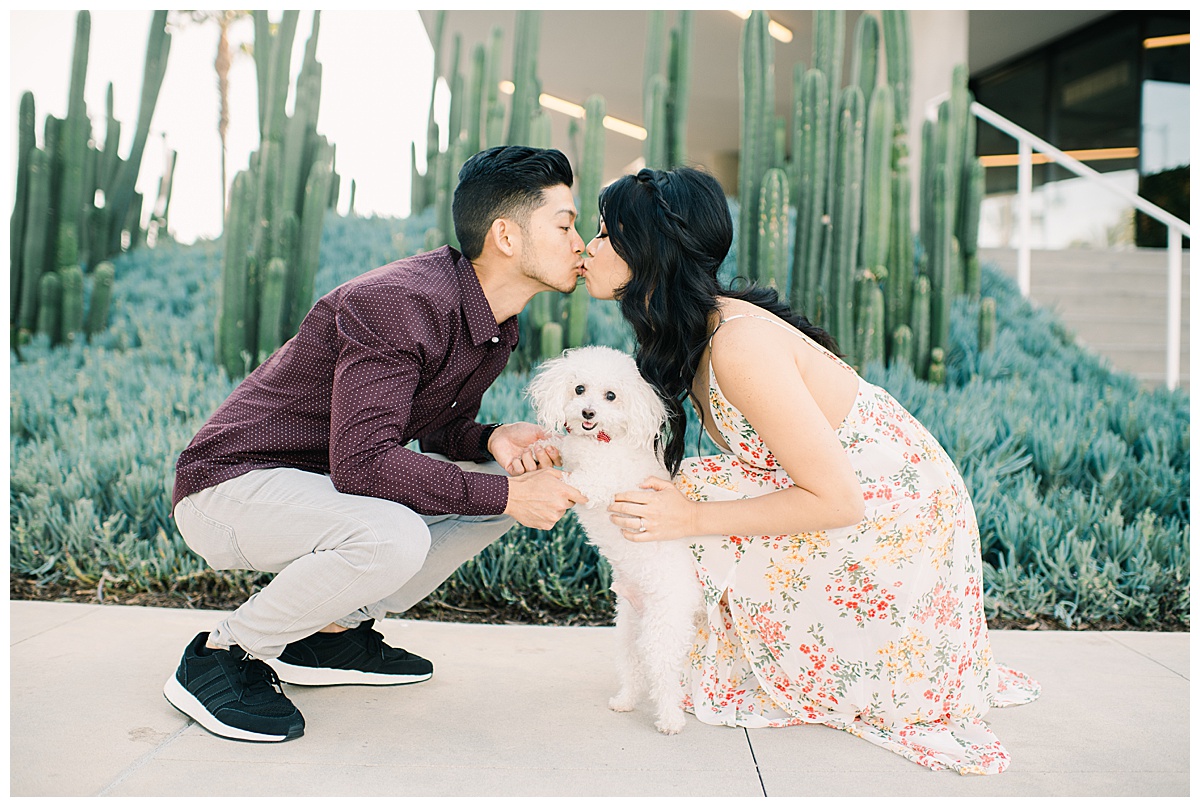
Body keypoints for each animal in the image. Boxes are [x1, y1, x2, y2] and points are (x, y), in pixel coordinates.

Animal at [525, 343, 700, 734]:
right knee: (633, 670)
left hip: (661, 630)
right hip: (627, 629)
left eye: (611, 396)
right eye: (579, 389)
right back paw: (624, 702)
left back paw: (670, 720)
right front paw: (538, 447)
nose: (588, 412)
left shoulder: (598, 482)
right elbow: (559, 444)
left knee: (664, 677)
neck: (600, 441)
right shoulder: (573, 449)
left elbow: (574, 482)